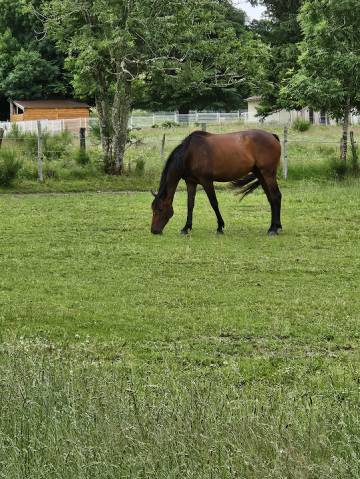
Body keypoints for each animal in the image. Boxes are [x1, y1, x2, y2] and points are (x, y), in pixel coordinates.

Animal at [150, 129, 282, 236]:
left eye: (159, 210)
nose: (154, 231)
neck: (190, 153)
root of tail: (272, 135)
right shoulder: (191, 182)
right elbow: (190, 204)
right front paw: (186, 228)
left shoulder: (206, 181)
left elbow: (214, 203)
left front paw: (220, 227)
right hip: (260, 174)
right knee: (271, 198)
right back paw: (275, 226)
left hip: (268, 174)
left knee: (276, 196)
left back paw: (273, 229)